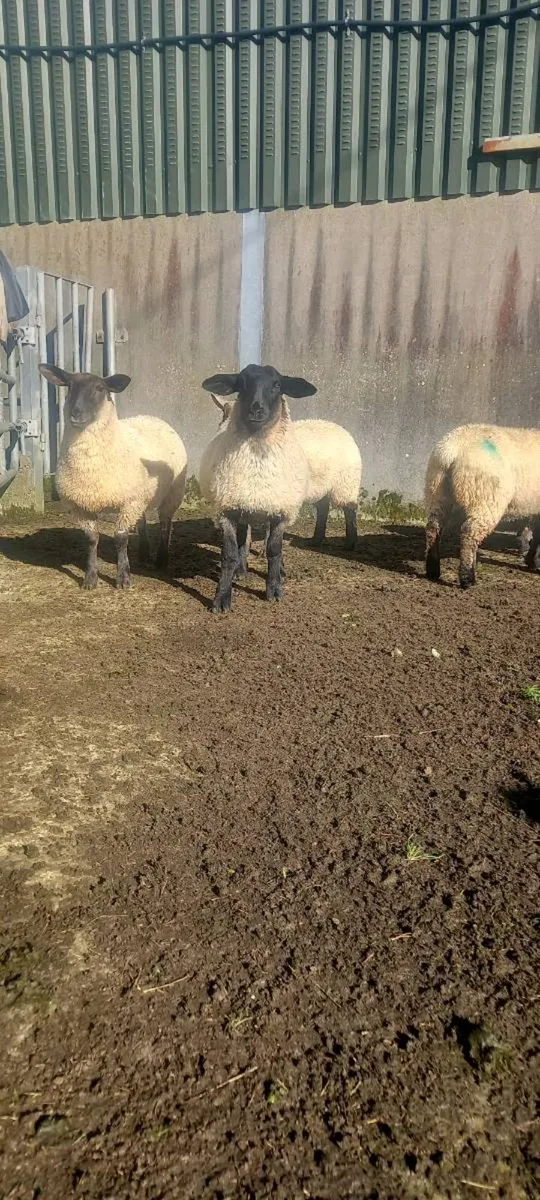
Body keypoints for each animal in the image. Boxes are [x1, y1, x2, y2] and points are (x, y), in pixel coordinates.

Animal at [39, 365, 187, 589]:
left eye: (100, 388)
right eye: (70, 386)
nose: (76, 414)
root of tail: (151, 416)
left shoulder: (128, 503)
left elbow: (121, 539)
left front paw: (123, 578)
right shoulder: (81, 506)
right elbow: (92, 539)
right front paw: (90, 578)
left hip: (171, 494)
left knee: (165, 524)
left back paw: (161, 560)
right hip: (141, 496)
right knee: (142, 522)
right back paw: (144, 554)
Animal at [199, 363, 316, 611]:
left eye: (277, 385)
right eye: (241, 384)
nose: (256, 410)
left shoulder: (281, 512)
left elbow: (274, 550)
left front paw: (274, 589)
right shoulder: (228, 510)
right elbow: (229, 554)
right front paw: (222, 597)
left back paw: (280, 571)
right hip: (244, 507)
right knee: (244, 540)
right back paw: (241, 571)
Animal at [209, 395, 362, 551]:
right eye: (224, 413)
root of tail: (341, 428)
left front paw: (263, 549)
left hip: (346, 482)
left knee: (350, 509)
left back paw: (350, 543)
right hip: (320, 485)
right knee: (323, 508)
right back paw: (315, 540)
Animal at [425, 423, 540, 587]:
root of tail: (452, 450)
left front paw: (532, 561)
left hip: (437, 490)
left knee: (433, 527)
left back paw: (433, 570)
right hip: (484, 496)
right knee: (469, 533)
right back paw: (467, 578)